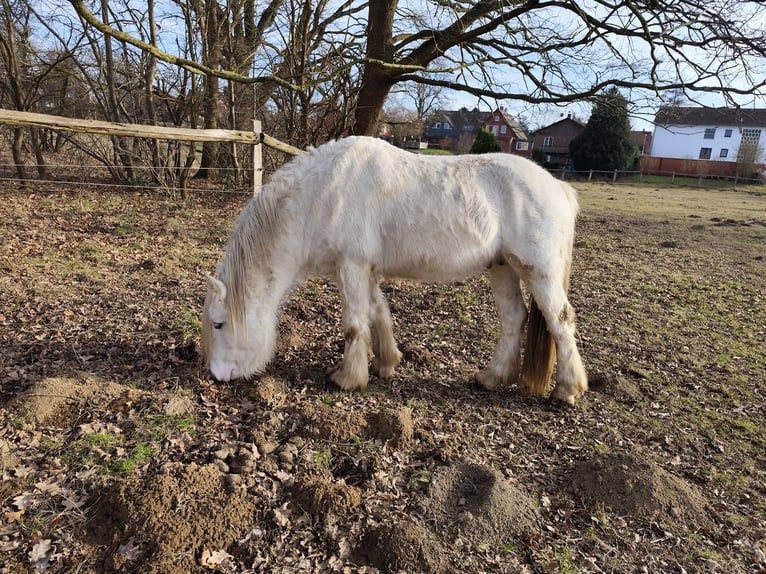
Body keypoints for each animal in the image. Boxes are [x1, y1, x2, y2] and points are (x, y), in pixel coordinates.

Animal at [201, 136, 592, 404]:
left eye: (219, 324)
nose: (218, 376)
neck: (321, 195)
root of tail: (559, 187)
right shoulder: (366, 270)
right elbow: (379, 314)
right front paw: (386, 363)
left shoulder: (352, 266)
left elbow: (354, 324)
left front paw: (348, 378)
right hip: (502, 268)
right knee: (514, 319)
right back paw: (492, 377)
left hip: (538, 272)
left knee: (561, 321)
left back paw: (567, 390)